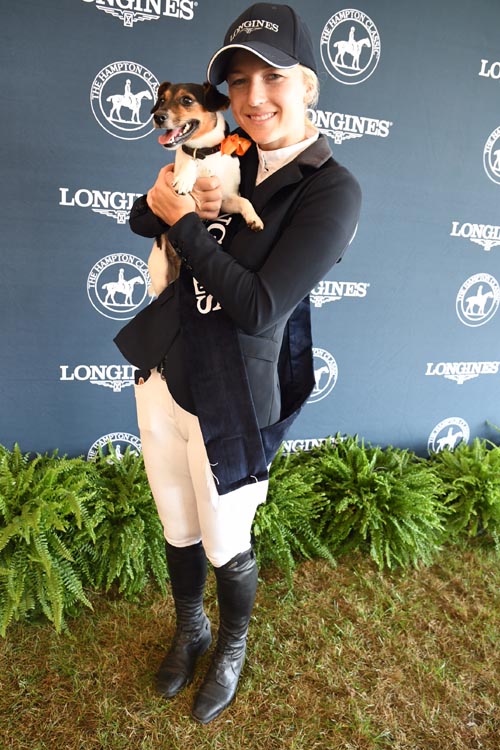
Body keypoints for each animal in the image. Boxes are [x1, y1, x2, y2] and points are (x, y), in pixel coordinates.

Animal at [146, 81, 262, 296]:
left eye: (187, 100)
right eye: (162, 100)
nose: (158, 116)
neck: (205, 154)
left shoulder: (224, 201)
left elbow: (244, 201)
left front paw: (254, 219)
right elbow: (188, 159)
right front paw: (185, 177)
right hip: (160, 272)